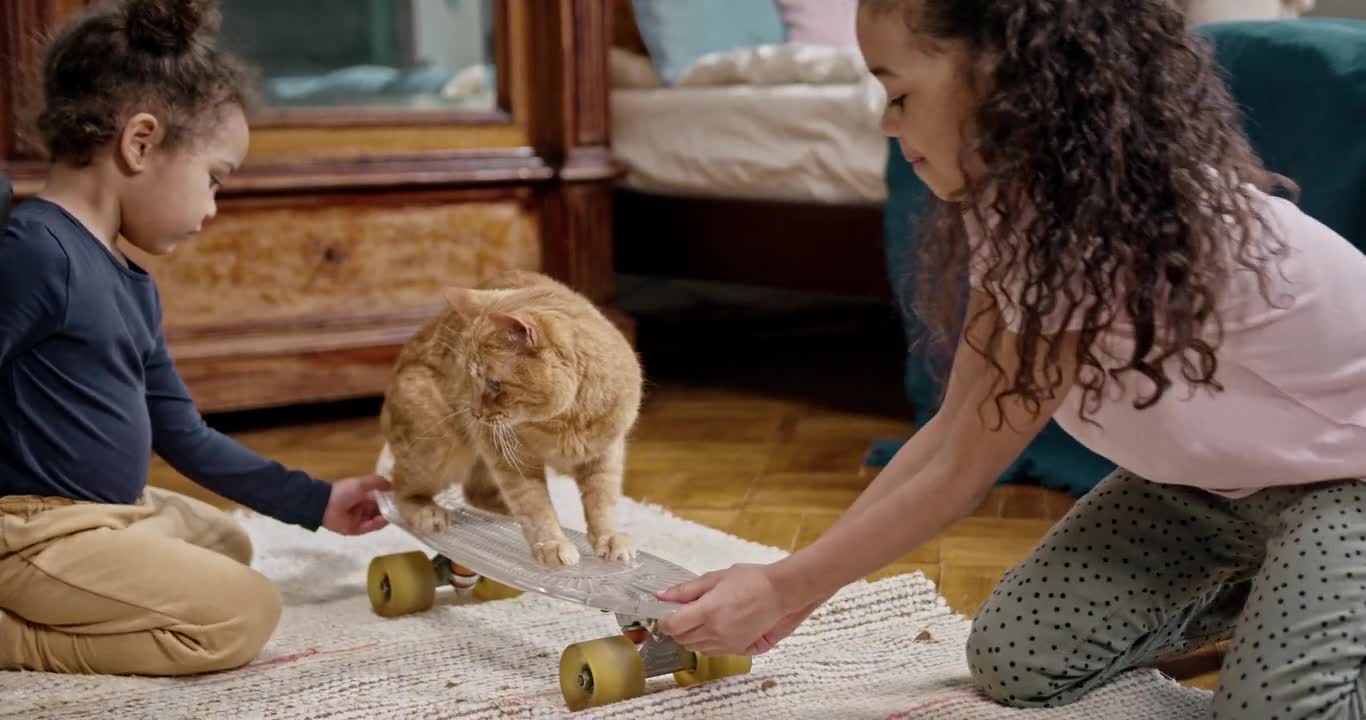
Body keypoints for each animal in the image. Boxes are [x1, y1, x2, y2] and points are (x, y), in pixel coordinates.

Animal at [377, 270, 642, 568]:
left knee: (475, 492)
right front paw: (552, 543)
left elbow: (602, 502)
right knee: (399, 487)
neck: (564, 421)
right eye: (471, 378)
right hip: (438, 449)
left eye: (494, 385)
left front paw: (608, 538)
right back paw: (426, 512)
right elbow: (535, 506)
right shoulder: (512, 461)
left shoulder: (605, 454)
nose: (474, 413)